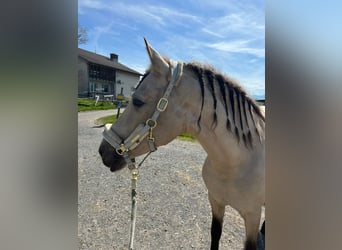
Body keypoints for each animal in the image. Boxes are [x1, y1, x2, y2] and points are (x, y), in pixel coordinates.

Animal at [97, 37, 266, 250]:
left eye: (137, 101)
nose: (103, 151)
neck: (237, 162)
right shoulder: (216, 201)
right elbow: (215, 234)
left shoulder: (252, 216)